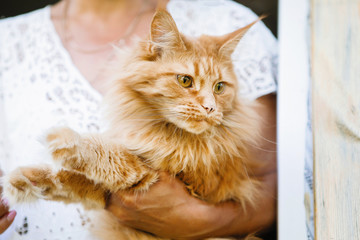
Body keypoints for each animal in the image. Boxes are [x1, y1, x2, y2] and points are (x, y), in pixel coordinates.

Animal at [2, 9, 264, 240]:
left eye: (219, 87)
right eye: (185, 81)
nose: (210, 108)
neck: (166, 134)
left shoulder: (187, 182)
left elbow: (114, 157)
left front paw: (68, 141)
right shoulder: (115, 193)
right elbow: (79, 182)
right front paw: (29, 180)